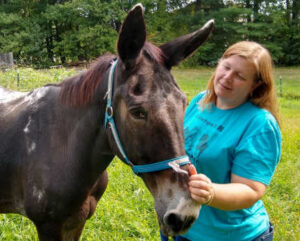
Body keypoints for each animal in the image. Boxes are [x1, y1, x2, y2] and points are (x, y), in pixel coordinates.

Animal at [0, 3, 213, 241]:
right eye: (137, 112)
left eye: (184, 102)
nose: (184, 213)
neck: (62, 146)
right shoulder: (49, 226)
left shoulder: (77, 221)